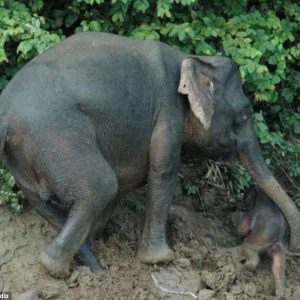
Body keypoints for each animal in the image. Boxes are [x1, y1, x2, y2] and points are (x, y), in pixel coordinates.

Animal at [0, 31, 298, 278]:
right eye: (245, 114)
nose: (291, 244)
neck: (191, 59)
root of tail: (6, 114)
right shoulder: (168, 113)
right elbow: (162, 170)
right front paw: (159, 260)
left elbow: (127, 183)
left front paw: (97, 241)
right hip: (56, 136)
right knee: (100, 186)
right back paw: (57, 269)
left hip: (23, 161)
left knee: (49, 201)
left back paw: (89, 262)